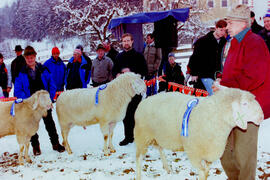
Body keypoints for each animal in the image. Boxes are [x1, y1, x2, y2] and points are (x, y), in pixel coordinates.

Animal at [134, 86, 264, 180]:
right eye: (244, 104)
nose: (261, 117)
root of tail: (144, 101)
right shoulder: (194, 153)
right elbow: (202, 173)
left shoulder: (209, 154)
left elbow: (206, 173)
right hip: (142, 136)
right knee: (139, 159)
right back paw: (139, 176)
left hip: (157, 136)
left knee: (160, 148)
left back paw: (167, 168)